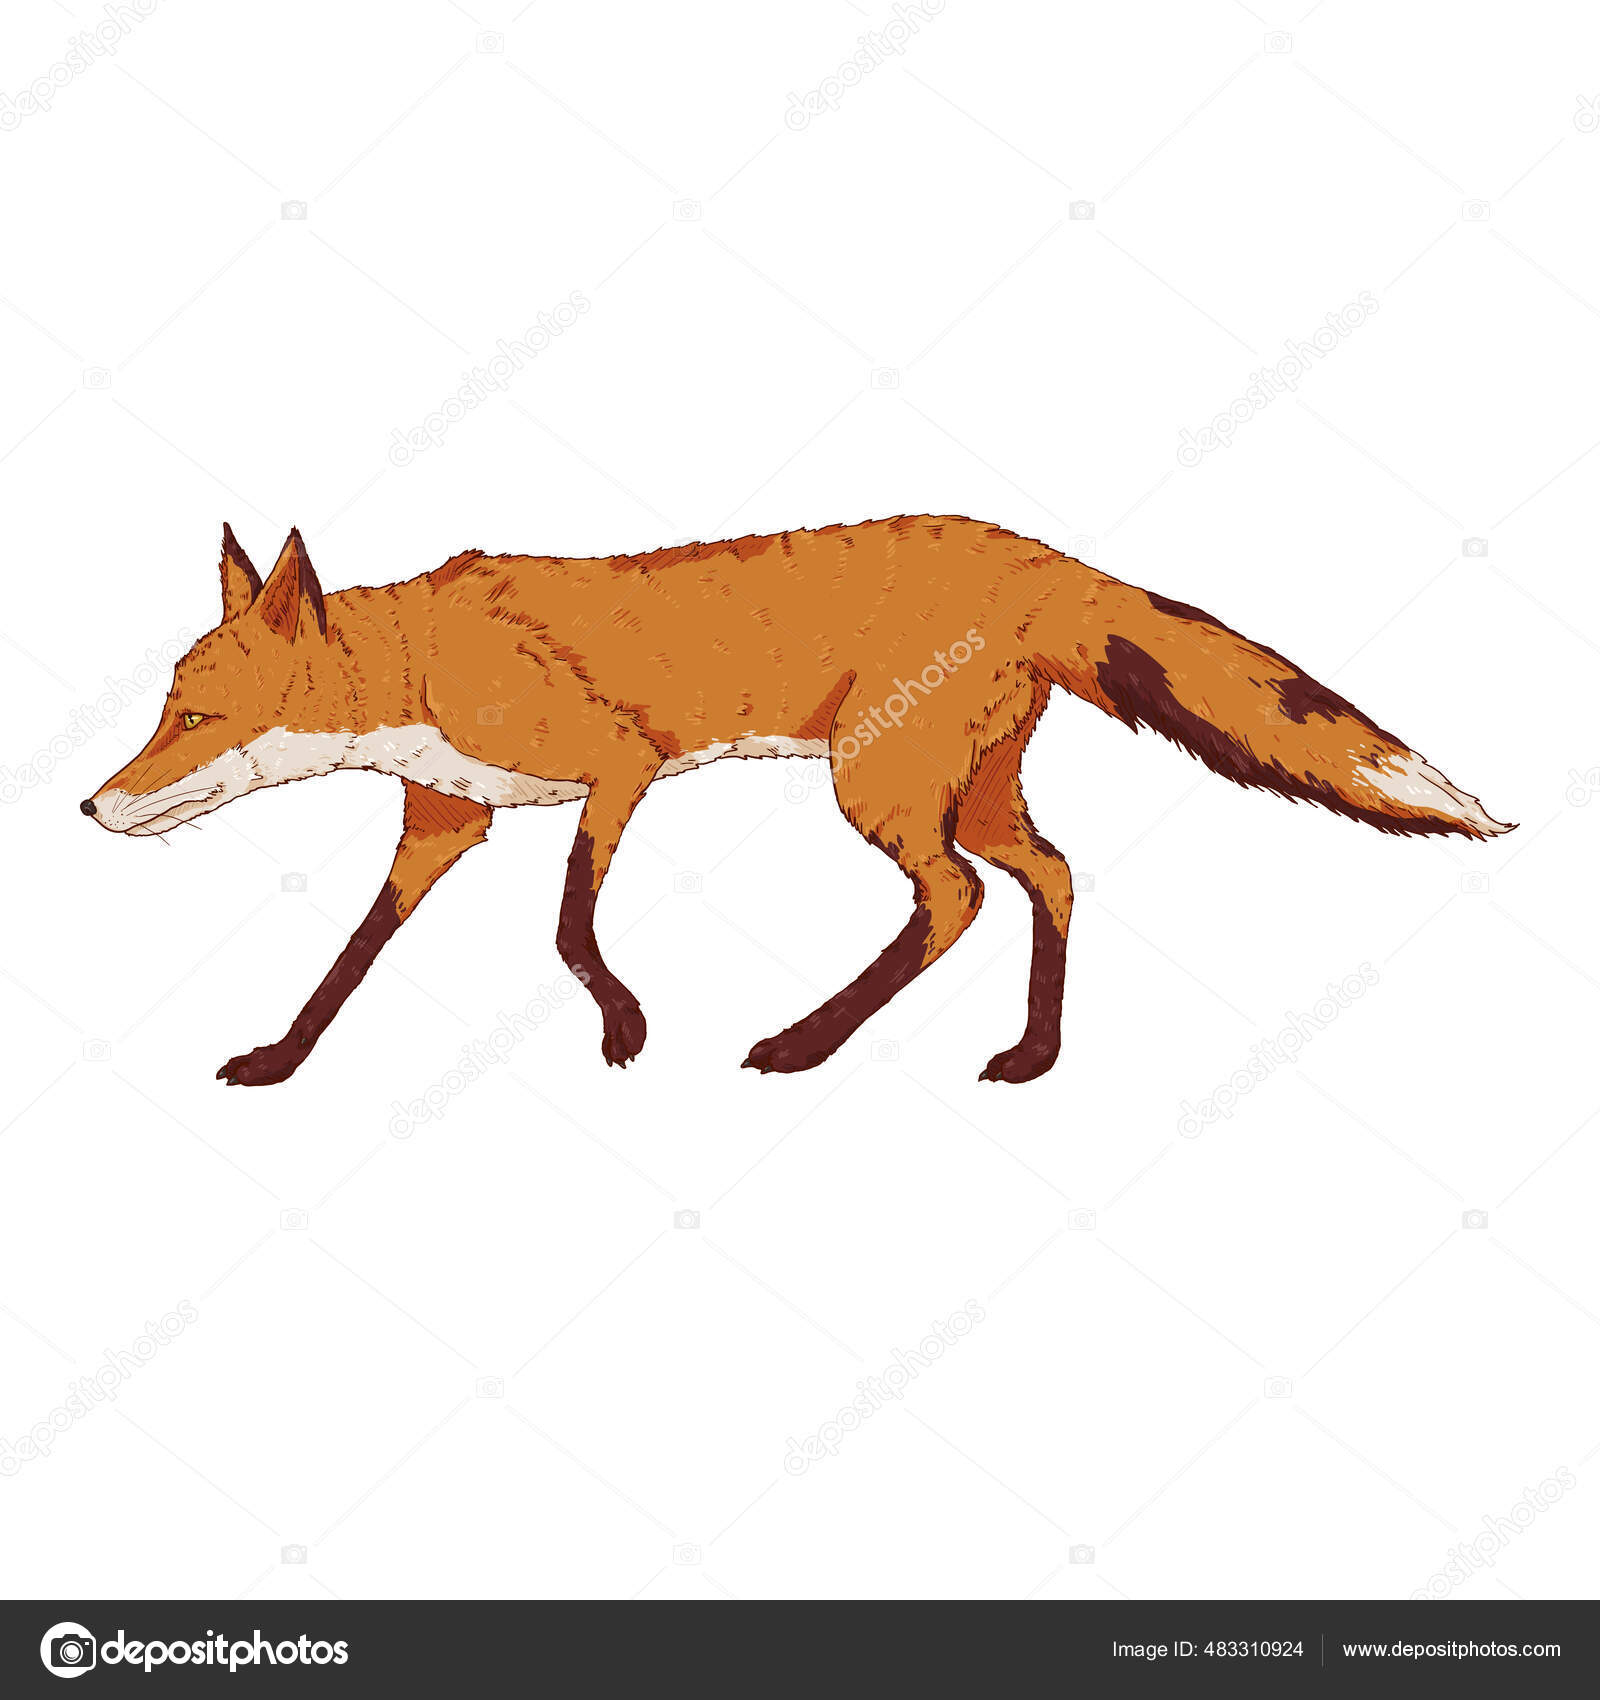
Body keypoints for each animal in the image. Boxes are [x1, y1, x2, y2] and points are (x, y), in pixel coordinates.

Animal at [85, 516, 1511, 1087]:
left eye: (194, 718)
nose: (94, 808)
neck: (425, 667)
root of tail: (1035, 550)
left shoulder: (617, 767)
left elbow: (566, 925)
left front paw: (622, 1025)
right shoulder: (448, 822)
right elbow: (351, 955)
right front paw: (280, 1058)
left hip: (878, 787)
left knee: (955, 901)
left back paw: (807, 1041)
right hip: (963, 789)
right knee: (1048, 872)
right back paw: (1033, 1053)